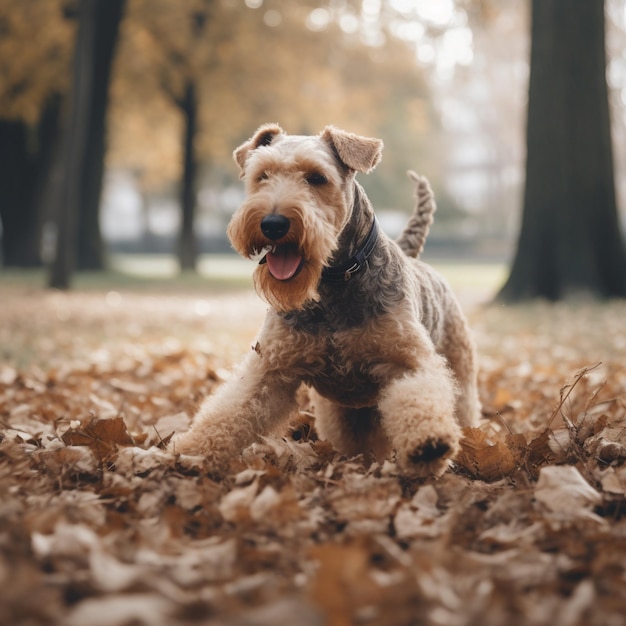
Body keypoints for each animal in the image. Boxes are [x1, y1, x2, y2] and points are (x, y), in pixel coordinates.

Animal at [173, 122, 480, 476]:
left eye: (317, 177)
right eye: (262, 175)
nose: (272, 224)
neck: (333, 284)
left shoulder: (406, 362)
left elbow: (418, 395)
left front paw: (429, 446)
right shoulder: (269, 369)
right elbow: (231, 408)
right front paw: (193, 450)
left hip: (458, 370)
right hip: (344, 412)